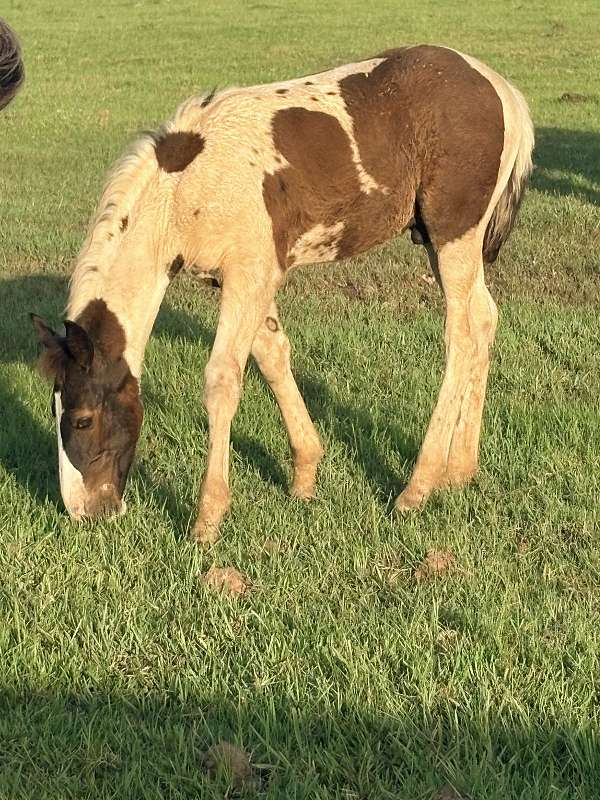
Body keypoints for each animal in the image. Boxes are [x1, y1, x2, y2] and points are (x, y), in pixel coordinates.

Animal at [31, 45, 534, 543]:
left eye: (82, 419)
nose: (83, 512)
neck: (186, 187)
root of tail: (500, 87)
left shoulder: (249, 275)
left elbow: (222, 380)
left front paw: (207, 520)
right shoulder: (243, 280)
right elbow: (273, 357)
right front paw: (305, 476)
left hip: (454, 235)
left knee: (461, 337)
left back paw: (418, 486)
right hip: (435, 239)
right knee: (484, 320)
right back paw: (460, 471)